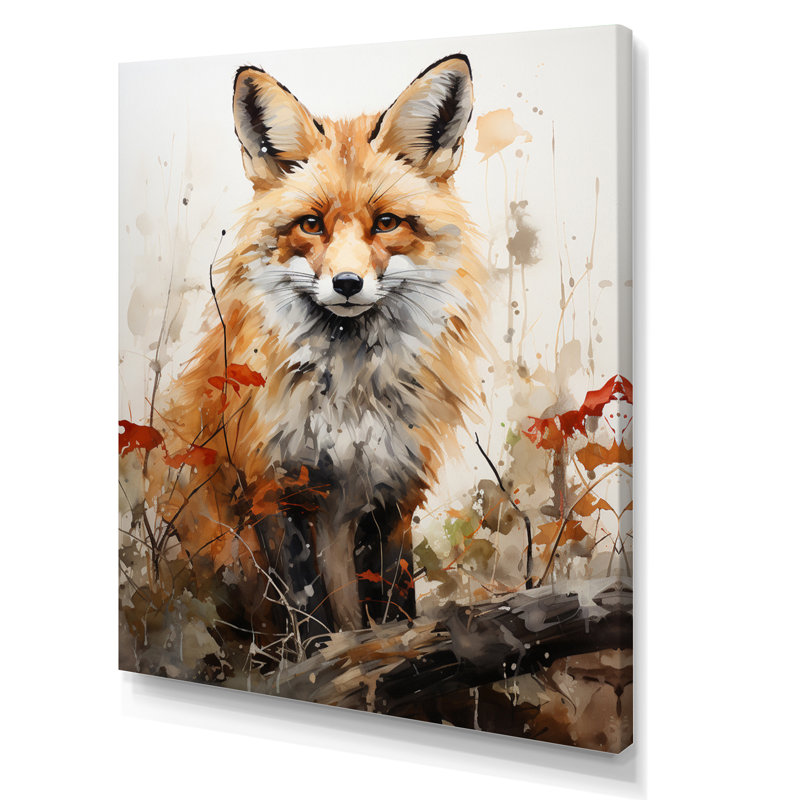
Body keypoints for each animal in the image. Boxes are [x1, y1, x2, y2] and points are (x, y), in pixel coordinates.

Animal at [156, 54, 487, 648]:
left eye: (386, 223)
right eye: (311, 225)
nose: (348, 283)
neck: (349, 399)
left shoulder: (393, 492)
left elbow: (394, 608)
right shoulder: (275, 489)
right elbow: (306, 614)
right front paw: (319, 662)